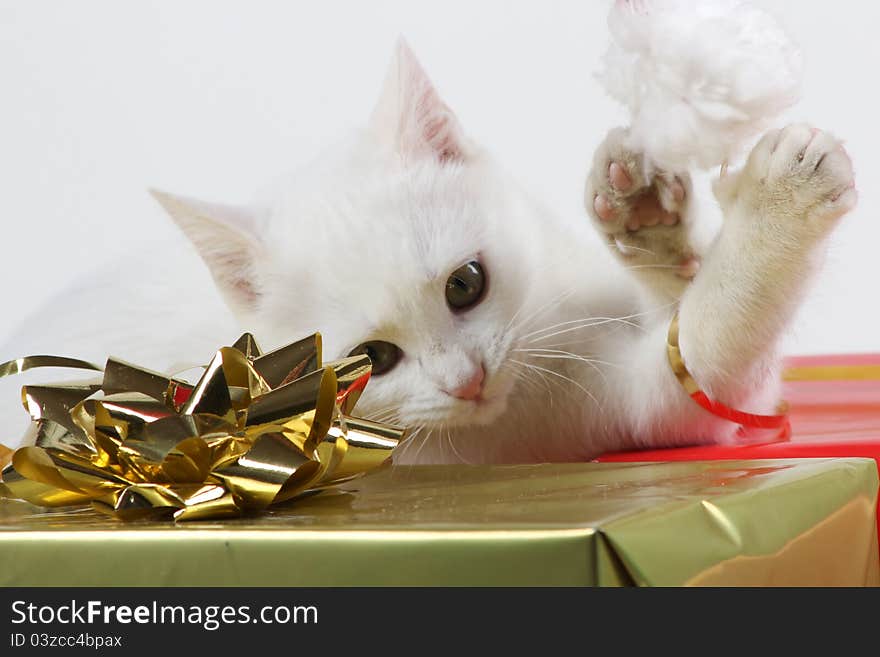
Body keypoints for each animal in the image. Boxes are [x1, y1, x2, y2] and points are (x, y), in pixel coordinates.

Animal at [0, 41, 852, 464]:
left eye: (466, 284)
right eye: (372, 361)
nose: (466, 381)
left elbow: (680, 302)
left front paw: (645, 215)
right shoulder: (624, 410)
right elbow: (716, 349)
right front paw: (777, 208)